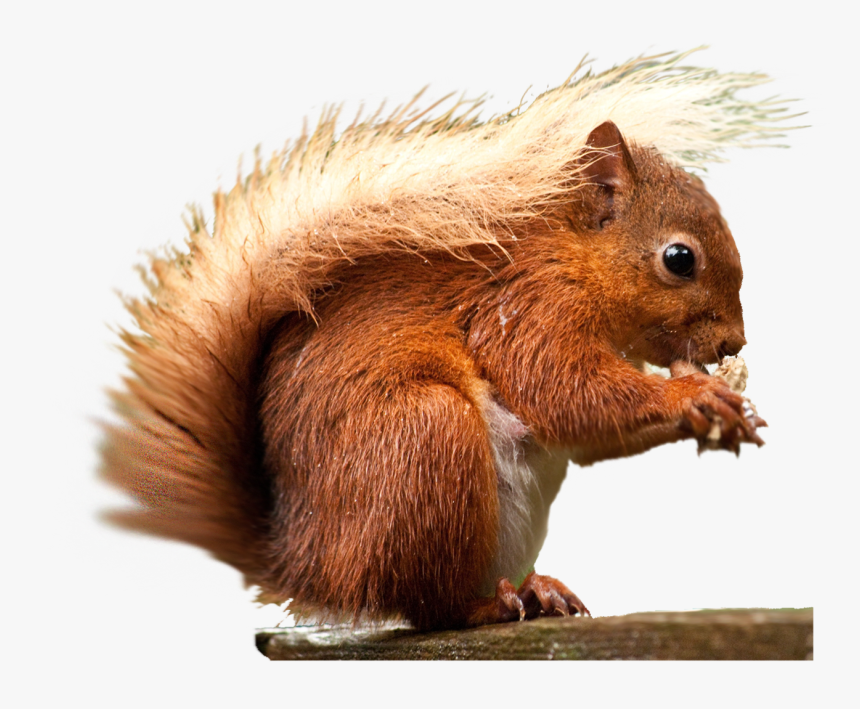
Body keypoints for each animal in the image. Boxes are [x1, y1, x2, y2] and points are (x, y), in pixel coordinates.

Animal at [102, 53, 783, 631]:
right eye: (679, 259)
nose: (733, 344)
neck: (571, 256)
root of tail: (306, 562)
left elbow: (587, 435)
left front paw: (723, 413)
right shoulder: (526, 310)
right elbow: (563, 392)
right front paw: (693, 398)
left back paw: (538, 590)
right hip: (429, 437)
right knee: (429, 607)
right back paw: (489, 605)